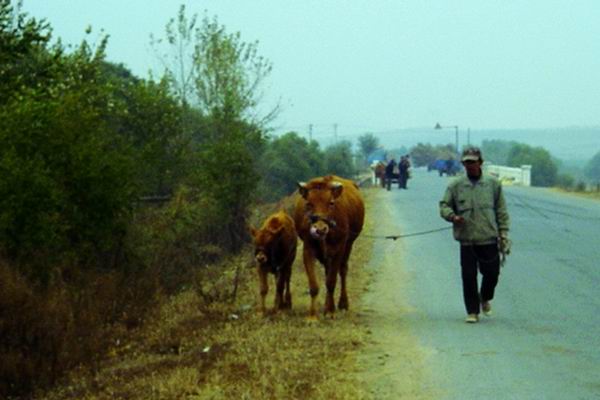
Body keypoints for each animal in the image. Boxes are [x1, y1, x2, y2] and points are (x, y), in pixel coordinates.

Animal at [293, 175, 365, 319]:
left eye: (331, 203)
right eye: (309, 203)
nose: (320, 229)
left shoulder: (339, 249)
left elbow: (331, 281)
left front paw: (331, 311)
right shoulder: (308, 249)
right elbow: (314, 285)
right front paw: (312, 316)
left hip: (349, 245)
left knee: (343, 270)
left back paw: (342, 303)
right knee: (328, 271)